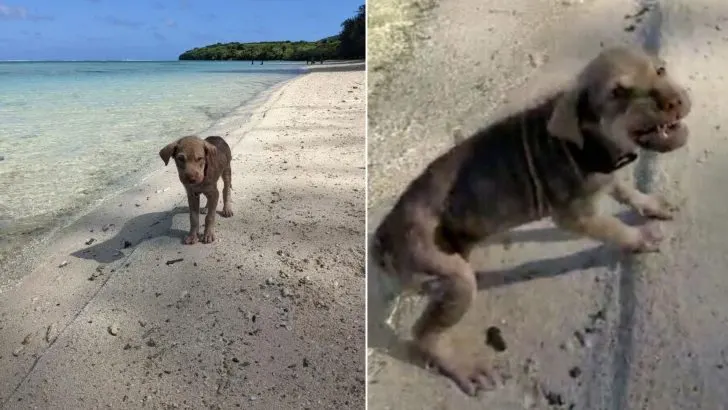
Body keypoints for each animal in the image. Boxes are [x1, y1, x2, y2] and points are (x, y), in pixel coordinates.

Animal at [370, 46, 692, 396]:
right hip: (451, 274)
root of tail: (381, 237)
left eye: (660, 70)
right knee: (424, 333)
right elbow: (616, 229)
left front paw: (649, 203)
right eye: (618, 93)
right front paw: (641, 239)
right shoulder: (575, 217)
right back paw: (462, 367)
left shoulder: (608, 177)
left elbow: (626, 191)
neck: (591, 141)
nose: (674, 101)